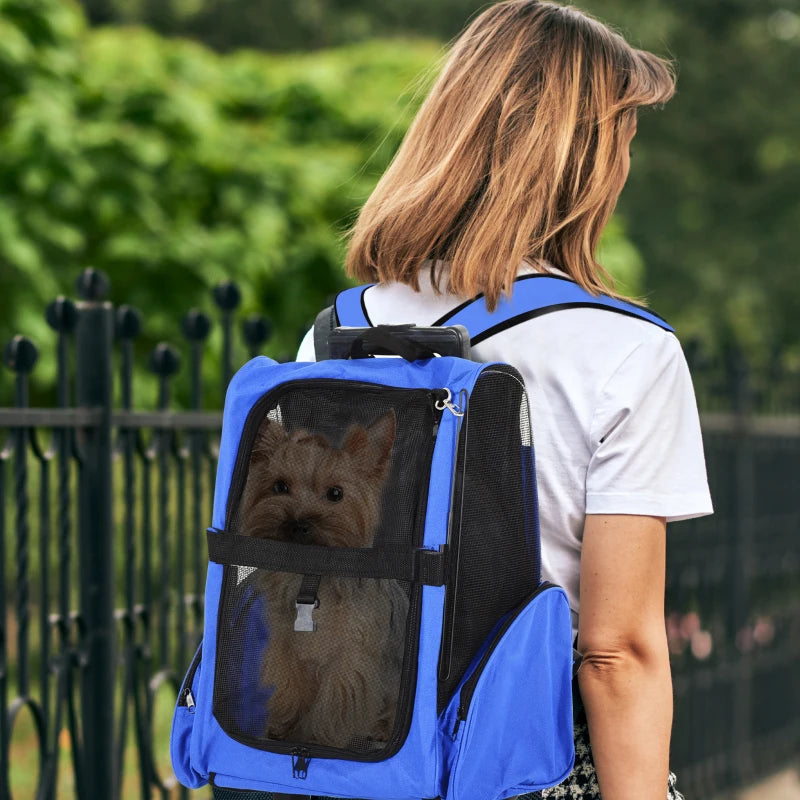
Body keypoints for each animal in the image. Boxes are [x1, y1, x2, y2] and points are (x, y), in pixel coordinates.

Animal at [238, 412, 406, 752]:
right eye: (280, 486)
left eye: (336, 494)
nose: (298, 524)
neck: (312, 579)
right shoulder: (288, 648)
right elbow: (292, 688)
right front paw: (284, 728)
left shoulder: (350, 659)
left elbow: (334, 703)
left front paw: (317, 739)